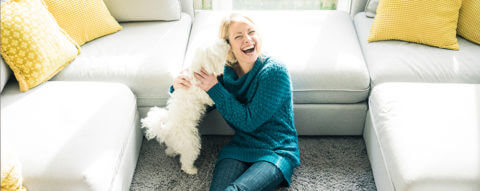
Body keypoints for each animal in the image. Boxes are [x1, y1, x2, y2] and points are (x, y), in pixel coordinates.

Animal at [141, 39, 231, 175]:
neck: (197, 70)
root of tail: (167, 130)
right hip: (191, 144)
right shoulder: (204, 93)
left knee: (172, 149)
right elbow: (210, 97)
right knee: (186, 160)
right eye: (219, 45)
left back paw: (170, 153)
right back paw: (191, 170)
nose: (226, 40)